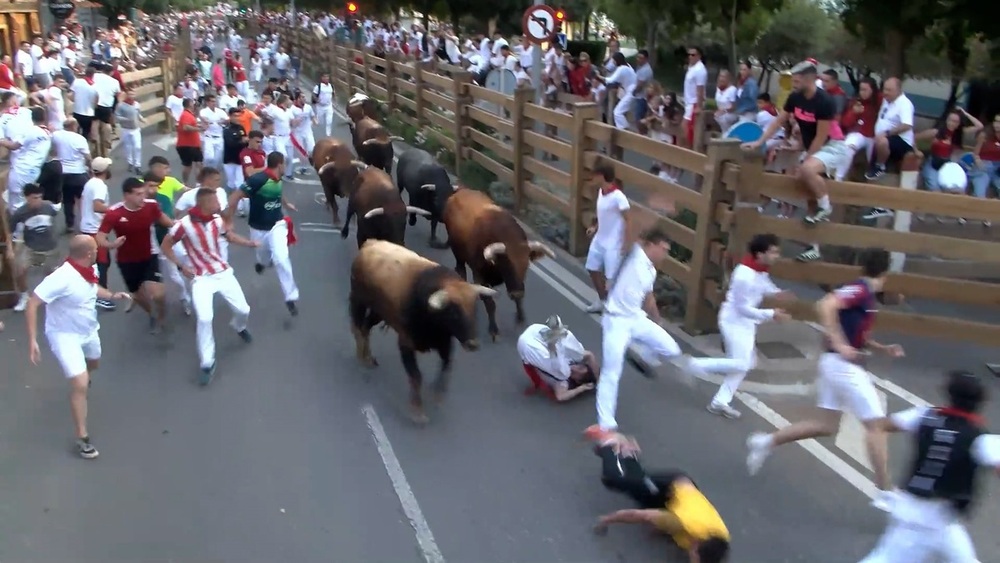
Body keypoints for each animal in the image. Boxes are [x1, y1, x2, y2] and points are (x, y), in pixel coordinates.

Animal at [350, 240, 498, 426]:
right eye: (454, 312)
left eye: (474, 308)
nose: (473, 344)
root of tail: (371, 243)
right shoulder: (405, 343)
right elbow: (416, 376)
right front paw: (417, 411)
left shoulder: (445, 343)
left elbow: (446, 368)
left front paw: (438, 394)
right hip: (358, 300)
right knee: (357, 328)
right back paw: (361, 356)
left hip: (379, 312)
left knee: (365, 327)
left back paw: (368, 357)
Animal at [444, 189, 556, 342]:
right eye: (506, 265)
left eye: (526, 265)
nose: (517, 292)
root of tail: (460, 191)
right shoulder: (479, 275)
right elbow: (490, 303)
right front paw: (494, 330)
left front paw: (520, 318)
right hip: (457, 252)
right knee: (460, 270)